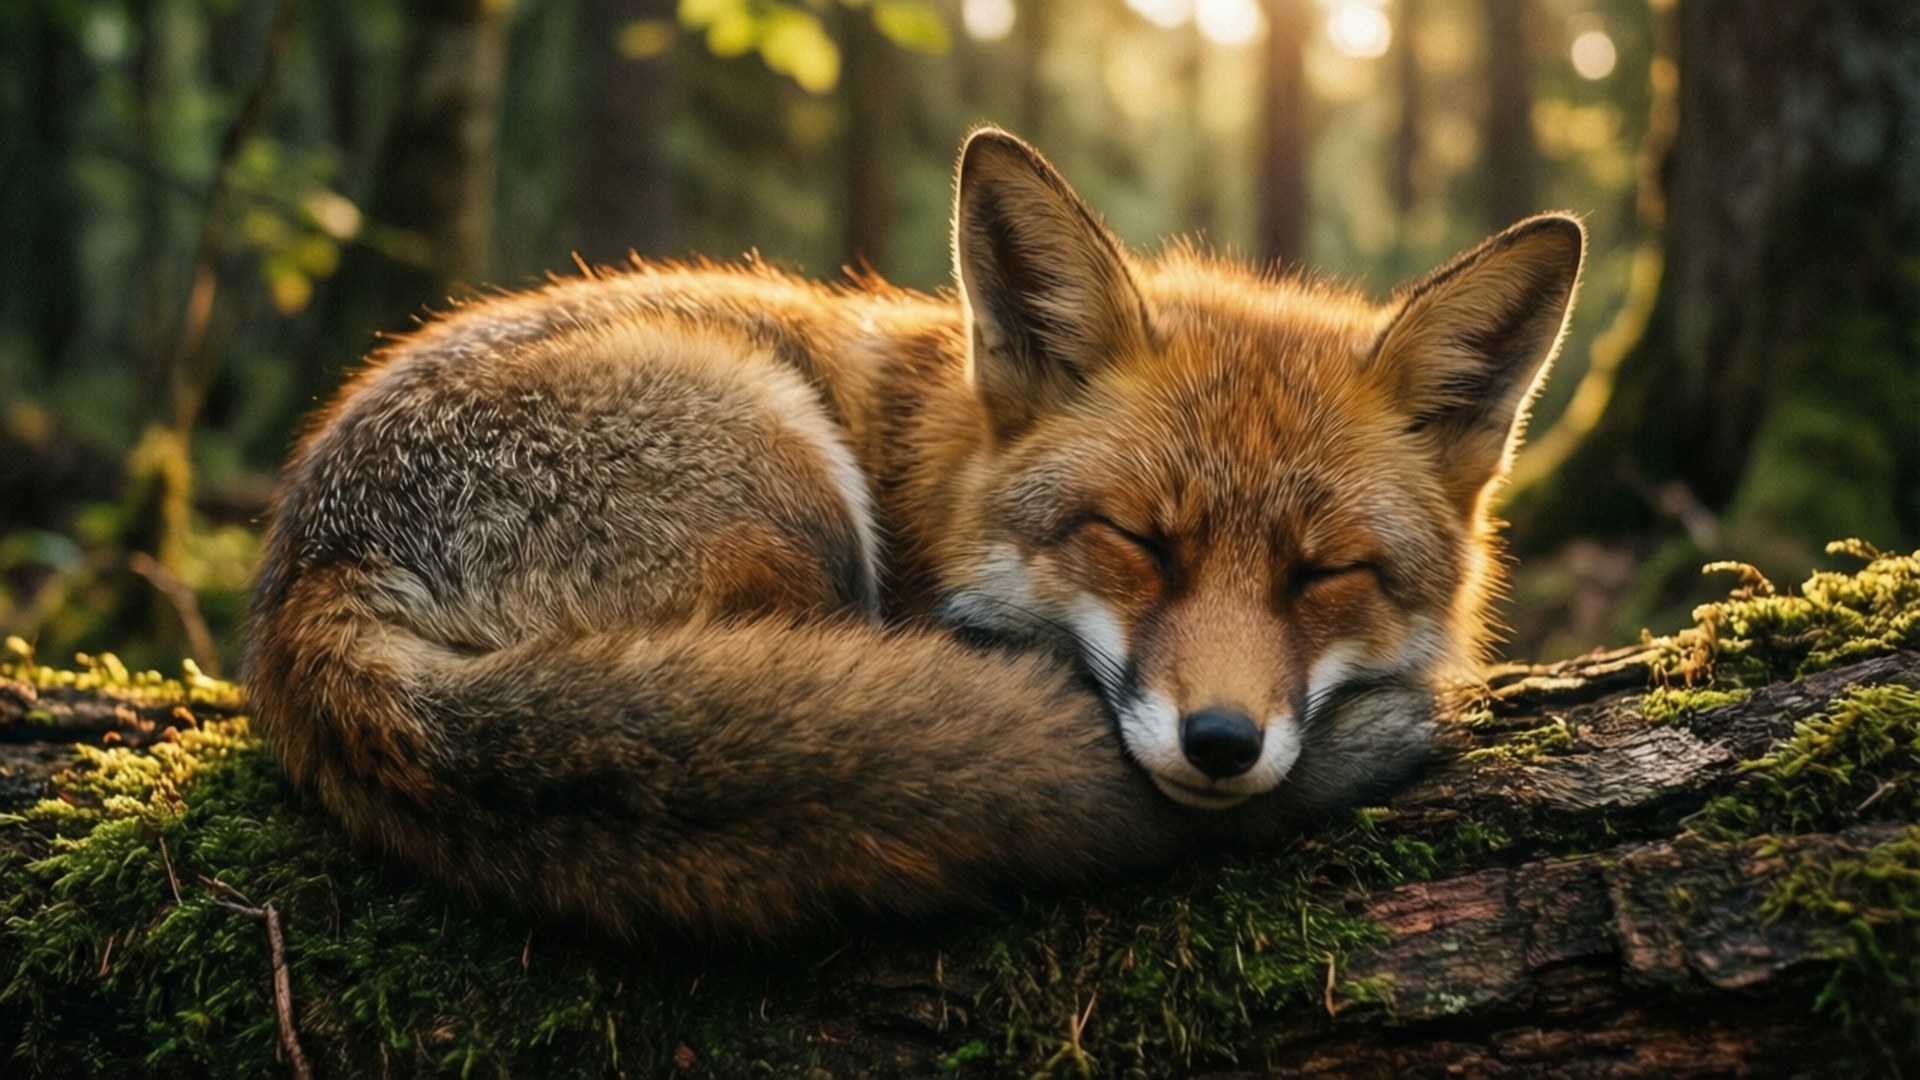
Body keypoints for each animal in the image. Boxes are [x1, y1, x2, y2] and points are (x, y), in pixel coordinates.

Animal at [246, 128, 1584, 942]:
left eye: (1326, 574)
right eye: (1137, 541)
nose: (1219, 744)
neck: (935, 468)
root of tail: (309, 575)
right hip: (788, 483)